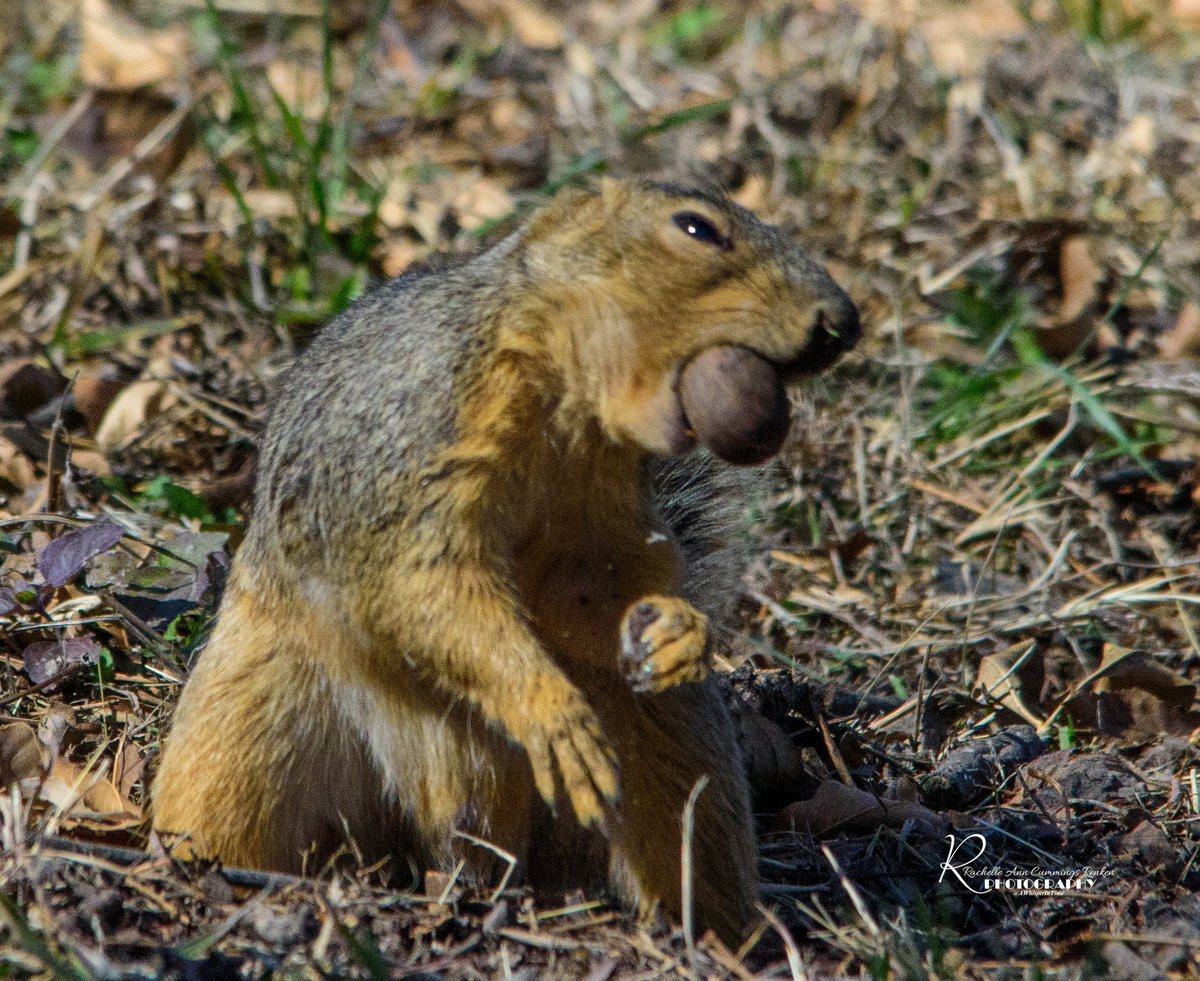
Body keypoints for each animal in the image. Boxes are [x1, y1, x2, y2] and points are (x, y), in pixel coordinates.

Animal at [151, 177, 860, 944]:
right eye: (697, 228)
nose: (843, 323)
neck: (559, 399)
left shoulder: (596, 508)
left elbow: (587, 593)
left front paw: (679, 630)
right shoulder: (407, 457)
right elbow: (418, 585)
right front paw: (549, 709)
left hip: (672, 747)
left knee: (690, 833)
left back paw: (715, 935)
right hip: (251, 732)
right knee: (227, 807)